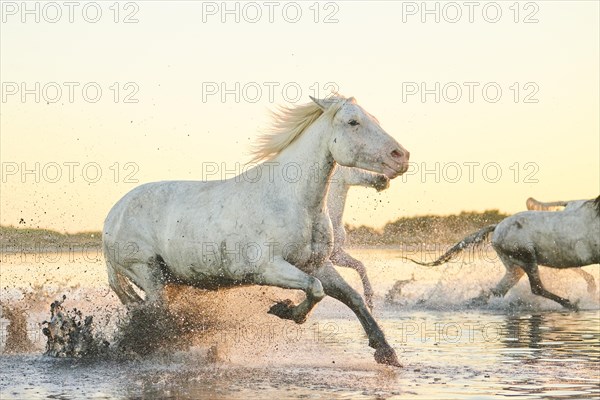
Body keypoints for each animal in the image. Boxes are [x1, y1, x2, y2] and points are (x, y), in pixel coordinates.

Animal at [410, 197, 600, 310]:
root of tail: (497, 227)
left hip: (514, 268)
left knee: (496, 291)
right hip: (526, 258)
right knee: (536, 288)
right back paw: (572, 304)